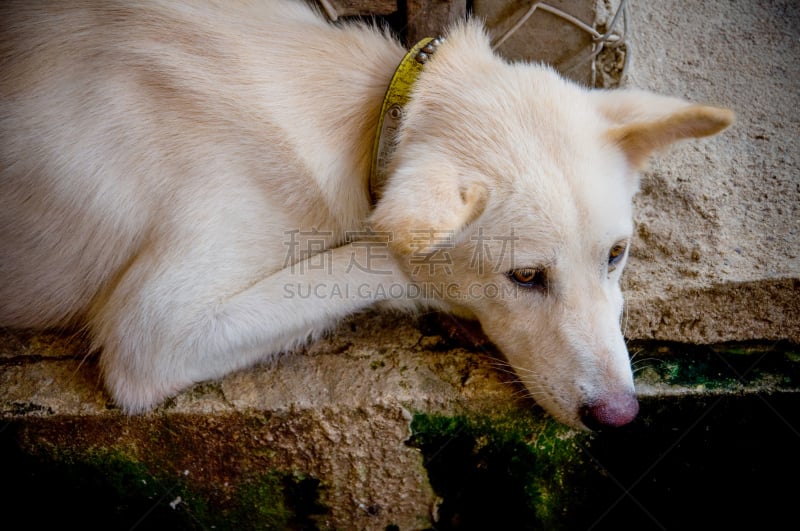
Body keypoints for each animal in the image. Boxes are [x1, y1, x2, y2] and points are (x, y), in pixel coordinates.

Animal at [0, 0, 736, 430]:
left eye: (616, 255)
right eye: (525, 277)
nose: (620, 416)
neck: (368, 112)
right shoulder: (151, 335)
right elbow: (381, 254)